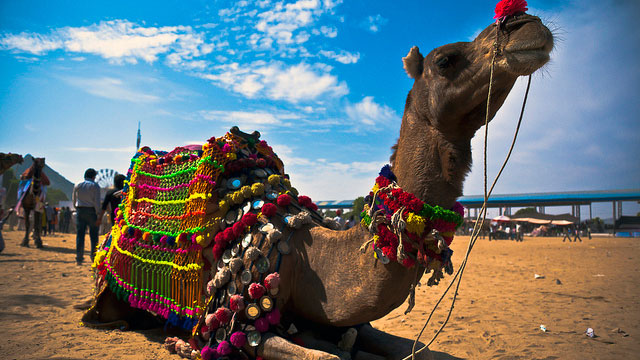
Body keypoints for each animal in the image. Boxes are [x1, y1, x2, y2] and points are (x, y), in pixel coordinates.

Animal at [82, 5, 552, 360]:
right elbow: (322, 357)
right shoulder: (239, 325)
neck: (309, 256)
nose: (524, 23)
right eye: (446, 60)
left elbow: (420, 348)